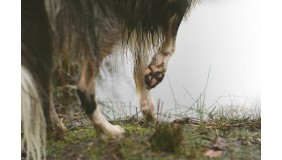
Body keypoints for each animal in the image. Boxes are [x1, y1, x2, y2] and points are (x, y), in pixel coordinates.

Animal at [20, 0, 197, 159]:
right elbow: (172, 36)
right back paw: (109, 132)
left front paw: (149, 109)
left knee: (42, 83)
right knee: (83, 88)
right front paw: (157, 69)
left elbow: (141, 58)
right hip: (103, 22)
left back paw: (56, 129)